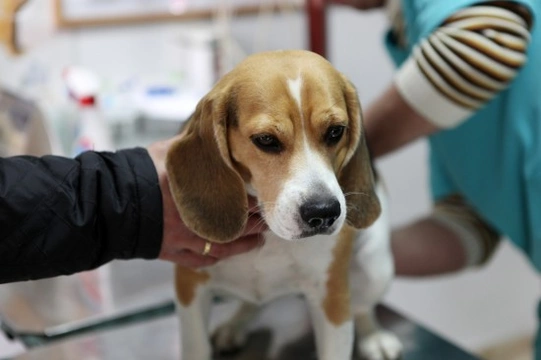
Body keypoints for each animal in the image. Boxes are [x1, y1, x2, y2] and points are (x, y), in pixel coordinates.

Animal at [165, 48, 400, 360]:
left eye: (336, 131)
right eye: (266, 140)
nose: (323, 212)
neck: (270, 233)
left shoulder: (331, 295)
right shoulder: (190, 284)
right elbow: (196, 347)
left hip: (377, 268)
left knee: (362, 307)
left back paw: (373, 336)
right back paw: (234, 325)